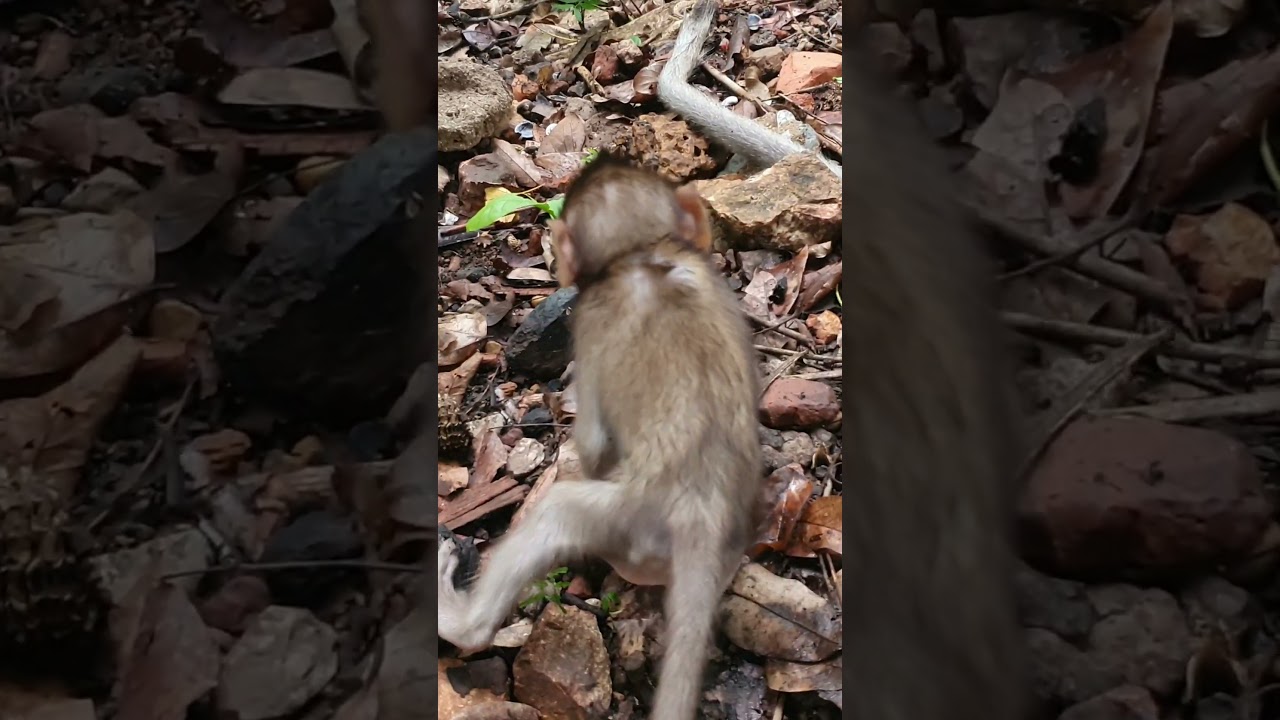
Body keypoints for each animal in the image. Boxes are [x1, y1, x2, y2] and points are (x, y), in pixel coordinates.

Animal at [437, 156, 764, 720]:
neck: (641, 253)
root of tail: (703, 511)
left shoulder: (586, 324)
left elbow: (592, 442)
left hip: (626, 524)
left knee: (559, 512)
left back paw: (461, 621)